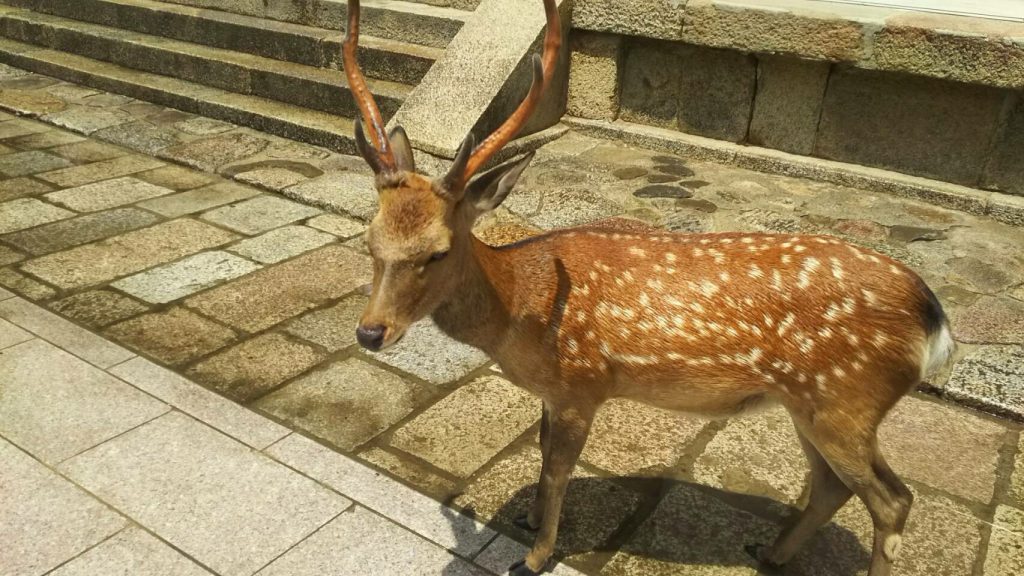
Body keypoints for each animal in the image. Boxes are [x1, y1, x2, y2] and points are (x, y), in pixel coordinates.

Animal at [339, 2, 954, 569]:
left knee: (892, 500)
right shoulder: (554, 393)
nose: (370, 332)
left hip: (846, 400)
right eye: (369, 237)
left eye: (438, 251)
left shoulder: (583, 384)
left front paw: (534, 555)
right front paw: (528, 518)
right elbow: (540, 451)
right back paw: (768, 552)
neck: (519, 306)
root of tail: (936, 319)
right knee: (835, 488)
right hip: (813, 404)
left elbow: (558, 470)